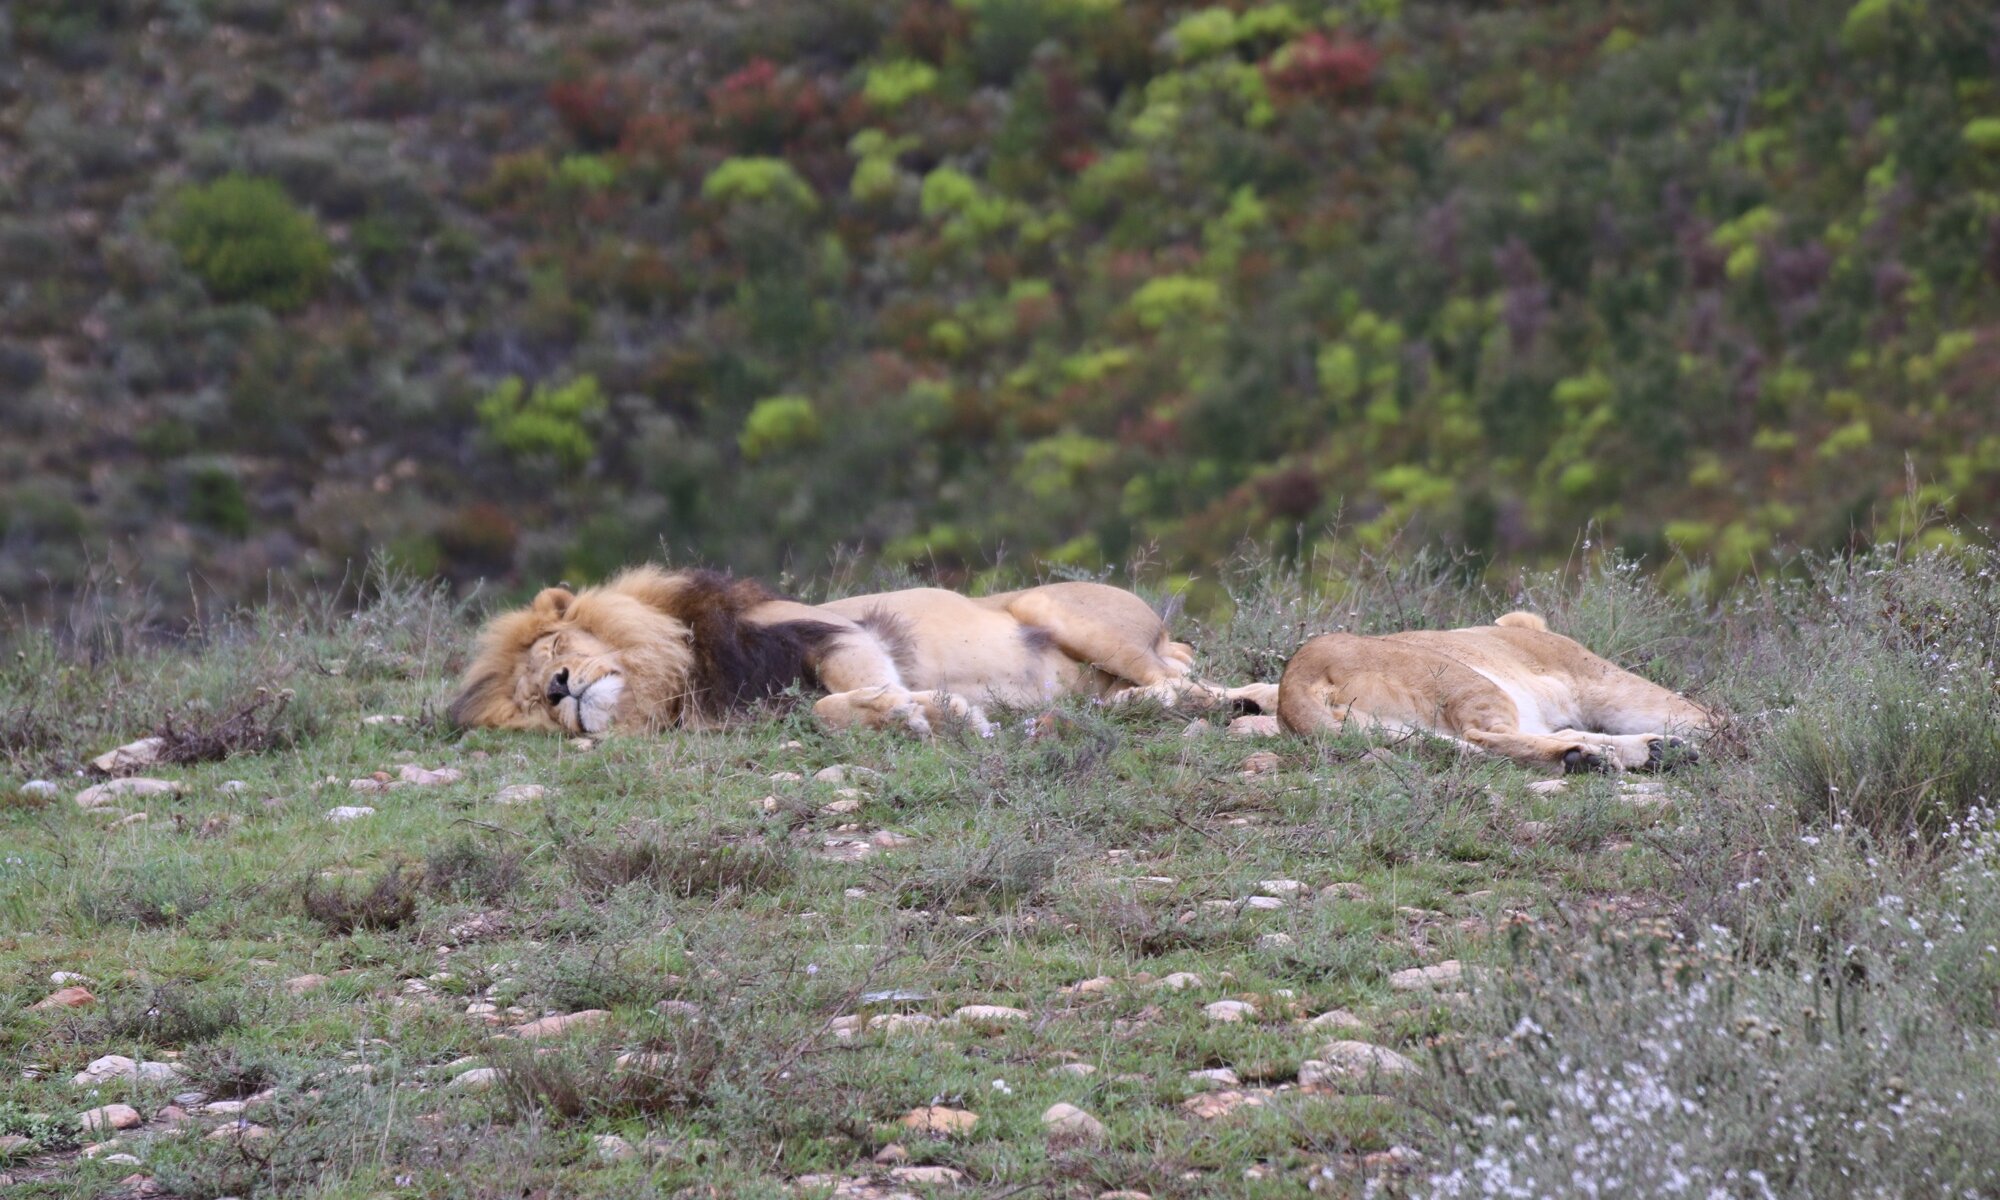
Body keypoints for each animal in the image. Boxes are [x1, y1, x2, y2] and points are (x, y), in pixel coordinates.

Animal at [1272, 616, 1712, 772]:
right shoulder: (1598, 677)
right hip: (1465, 679)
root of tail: (1293, 680)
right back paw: (1591, 759)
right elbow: (1698, 714)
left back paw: (1646, 751)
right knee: (1486, 736)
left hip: (1395, 728)